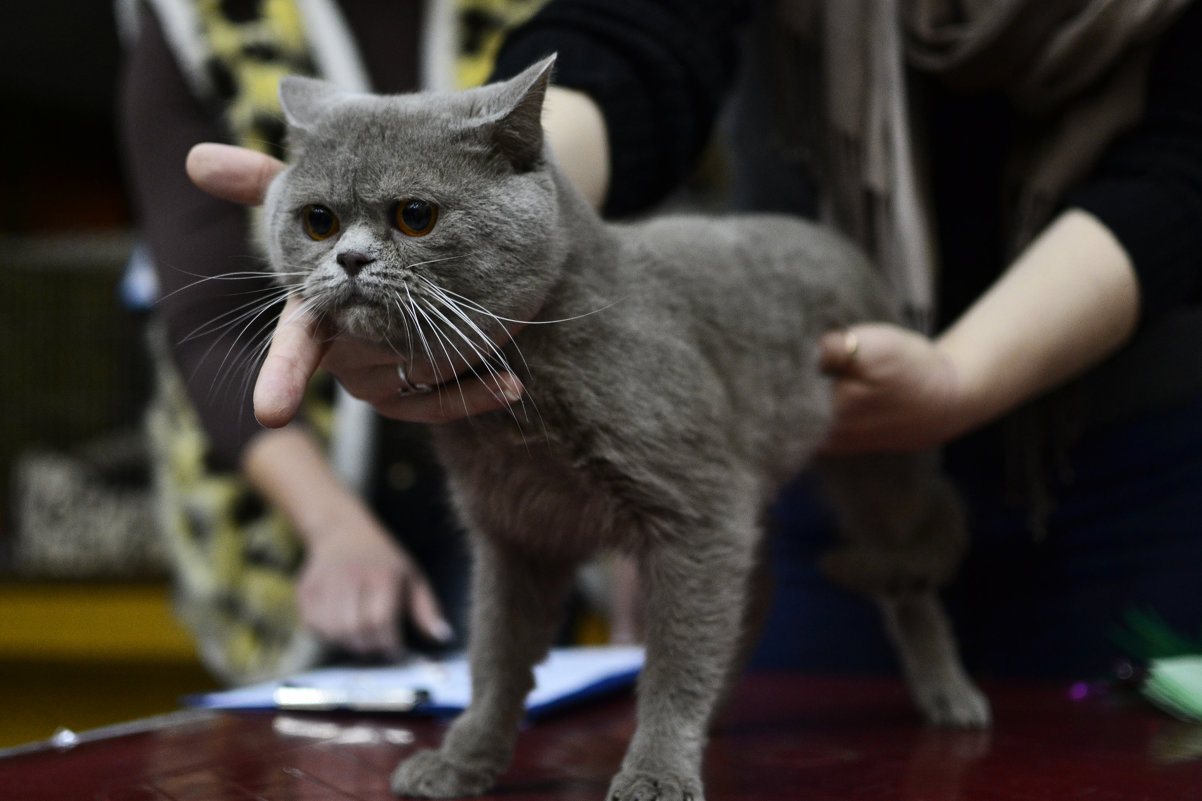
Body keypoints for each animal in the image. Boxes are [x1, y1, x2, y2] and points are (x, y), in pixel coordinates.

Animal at [260, 56, 985, 798]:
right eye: (318, 222)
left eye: (415, 216)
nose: (348, 259)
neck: (523, 411)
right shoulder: (515, 529)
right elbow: (496, 656)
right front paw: (462, 761)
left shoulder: (699, 511)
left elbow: (675, 659)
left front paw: (657, 771)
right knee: (758, 591)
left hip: (879, 464)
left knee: (905, 579)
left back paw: (950, 696)